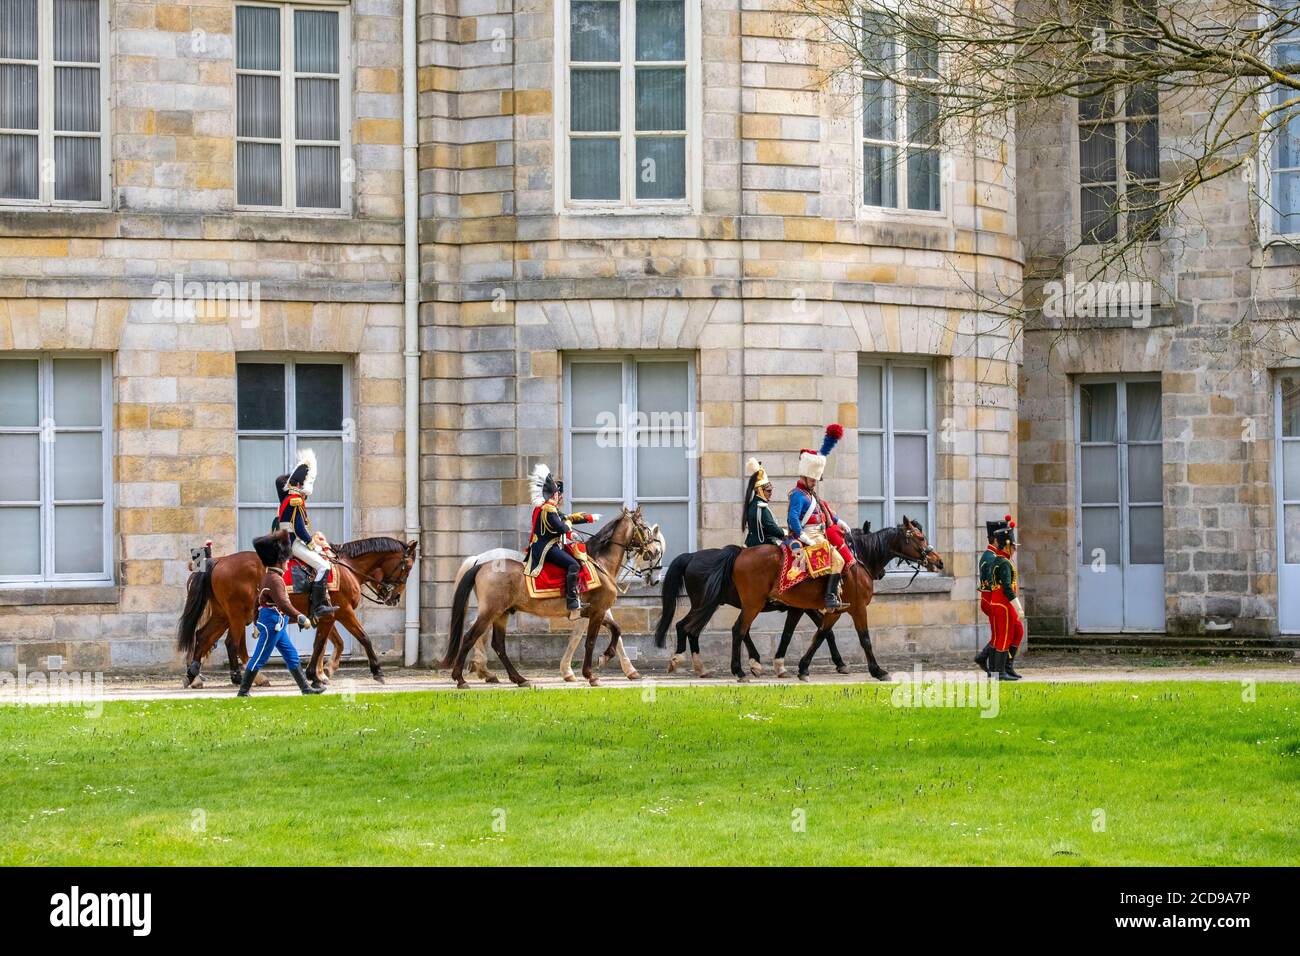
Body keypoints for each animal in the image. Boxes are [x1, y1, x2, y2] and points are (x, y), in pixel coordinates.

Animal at [178, 535, 416, 691]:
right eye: (408, 567)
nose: (394, 597)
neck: (347, 567)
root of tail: (219, 560)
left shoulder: (328, 615)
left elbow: (326, 643)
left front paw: (320, 673)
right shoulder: (342, 613)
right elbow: (359, 638)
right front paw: (376, 671)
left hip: (223, 615)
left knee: (203, 637)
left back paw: (193, 674)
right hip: (236, 614)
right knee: (231, 643)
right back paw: (243, 677)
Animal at [439, 509, 660, 686]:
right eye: (645, 528)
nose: (652, 551)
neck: (601, 562)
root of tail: (481, 563)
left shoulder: (593, 611)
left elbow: (616, 629)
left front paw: (605, 657)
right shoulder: (597, 611)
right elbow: (590, 641)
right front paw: (590, 674)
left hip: (502, 613)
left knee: (498, 645)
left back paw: (518, 678)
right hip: (491, 611)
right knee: (470, 637)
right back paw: (461, 678)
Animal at [650, 546, 852, 681]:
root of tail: (691, 556)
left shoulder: (806, 608)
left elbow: (826, 632)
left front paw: (839, 663)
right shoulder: (798, 608)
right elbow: (791, 634)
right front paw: (779, 666)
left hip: (712, 604)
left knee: (689, 628)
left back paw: (699, 667)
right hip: (710, 604)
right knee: (692, 628)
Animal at [696, 520, 941, 686]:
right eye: (920, 537)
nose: (938, 561)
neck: (858, 558)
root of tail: (740, 553)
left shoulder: (833, 610)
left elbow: (820, 634)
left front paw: (803, 668)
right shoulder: (857, 608)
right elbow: (864, 639)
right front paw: (878, 670)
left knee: (741, 630)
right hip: (752, 604)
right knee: (739, 630)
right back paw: (739, 671)